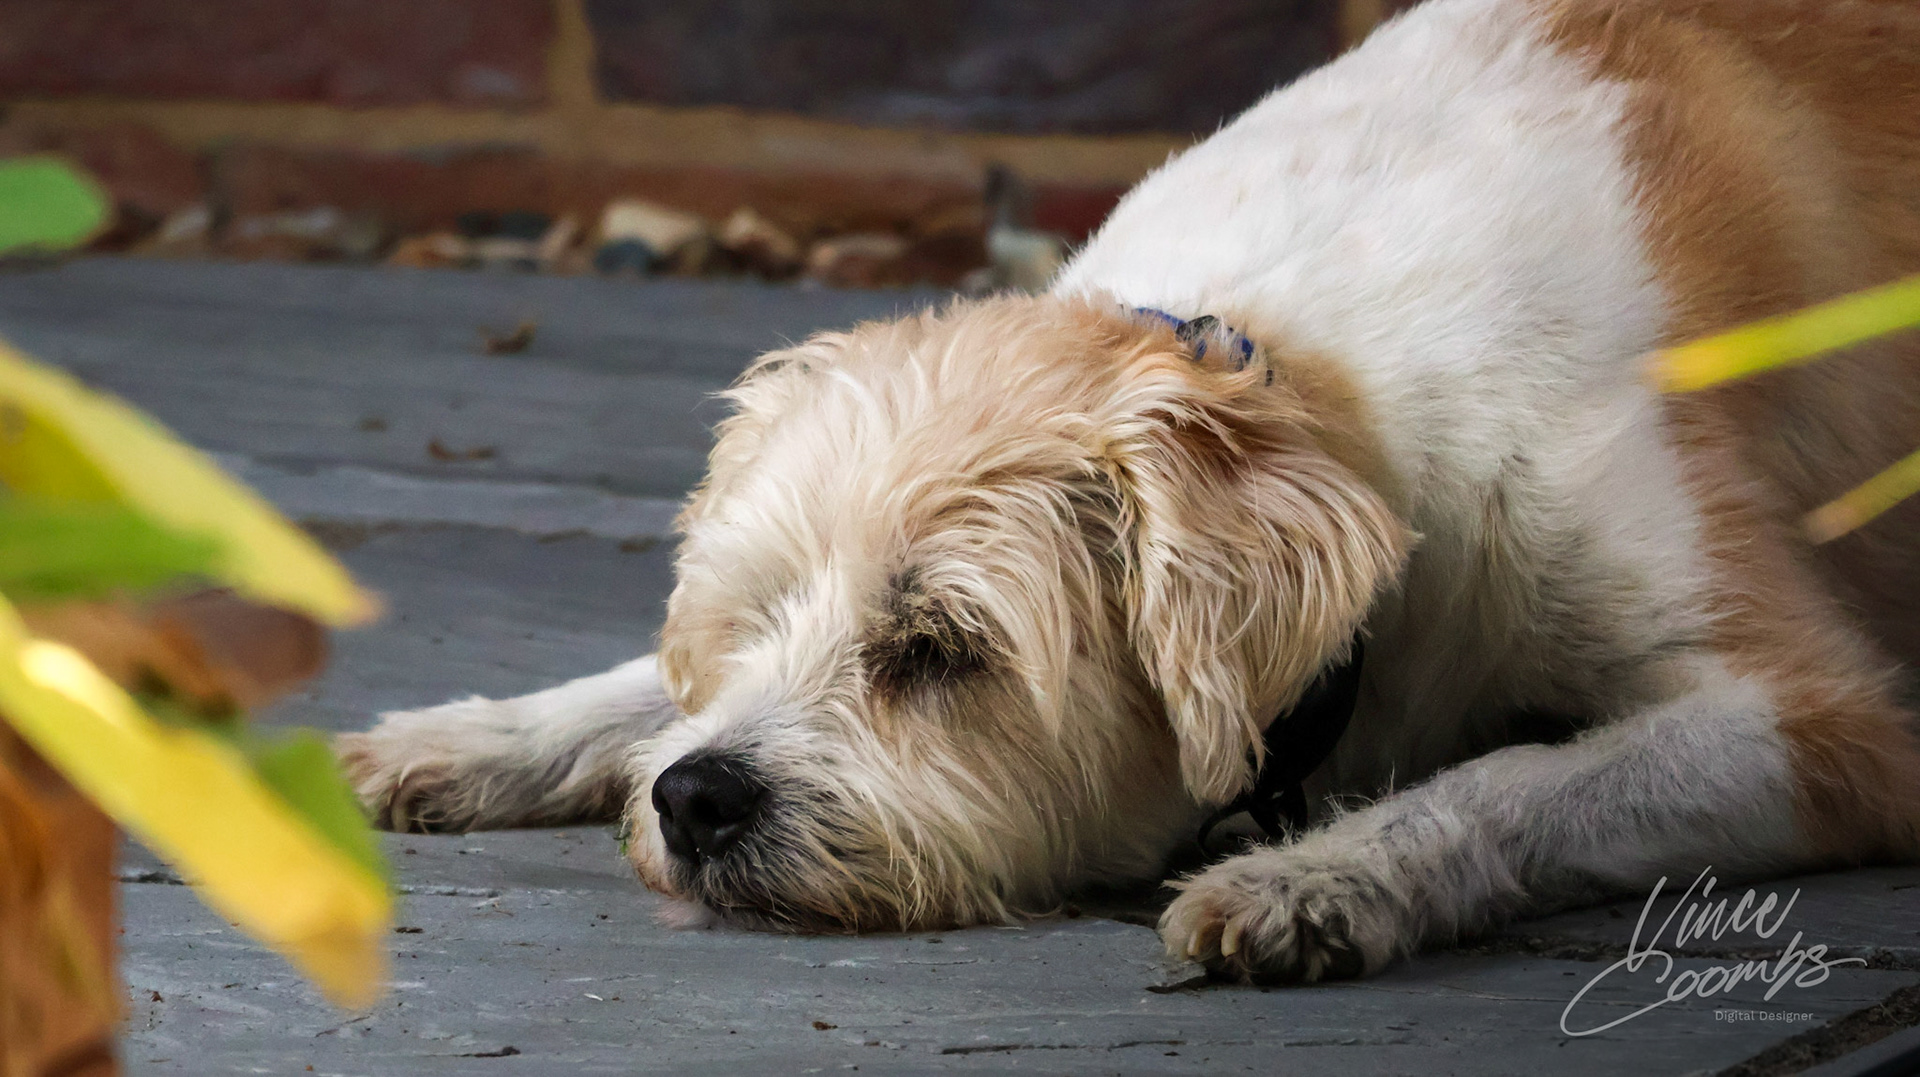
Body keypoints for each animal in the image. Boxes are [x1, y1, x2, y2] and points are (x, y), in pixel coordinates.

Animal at [338, 0, 1920, 983]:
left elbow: (1521, 780)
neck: (1307, 384)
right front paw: (467, 735)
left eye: (941, 651)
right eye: (745, 621)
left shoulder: (1824, 724)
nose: (697, 800)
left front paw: (1325, 877)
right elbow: (623, 694)